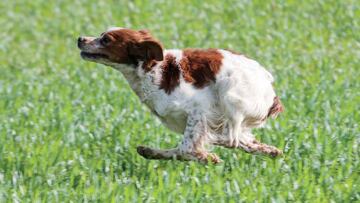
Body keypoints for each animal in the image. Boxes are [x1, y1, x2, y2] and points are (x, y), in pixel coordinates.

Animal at [77, 27, 282, 163]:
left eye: (106, 39)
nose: (80, 38)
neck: (152, 70)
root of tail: (272, 94)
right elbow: (184, 150)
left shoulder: (199, 109)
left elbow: (186, 147)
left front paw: (206, 156)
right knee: (242, 141)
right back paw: (272, 151)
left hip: (230, 93)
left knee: (230, 139)